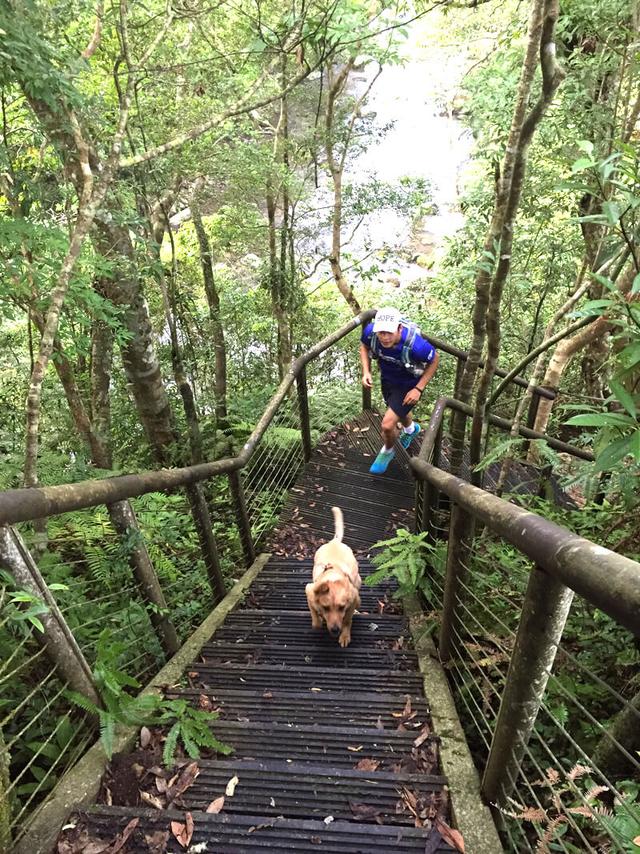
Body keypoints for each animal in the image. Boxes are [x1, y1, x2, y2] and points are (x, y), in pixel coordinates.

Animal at [304, 508, 360, 648]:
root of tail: (334, 541)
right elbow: (315, 620)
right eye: (326, 608)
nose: (335, 630)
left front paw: (345, 635)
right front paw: (319, 619)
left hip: (358, 580)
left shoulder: (353, 598)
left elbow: (347, 619)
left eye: (341, 607)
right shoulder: (309, 591)